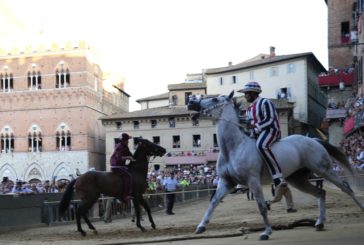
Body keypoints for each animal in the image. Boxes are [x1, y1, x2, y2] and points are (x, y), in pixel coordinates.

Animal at [188, 91, 364, 240]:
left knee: (346, 187)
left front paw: (266, 232)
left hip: (324, 170)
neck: (234, 148)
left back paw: (360, 209)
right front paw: (201, 226)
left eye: (215, 99)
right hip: (298, 180)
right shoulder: (227, 182)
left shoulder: (253, 181)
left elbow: (261, 206)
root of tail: (313, 140)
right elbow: (214, 201)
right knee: (321, 193)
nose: (191, 102)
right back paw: (320, 222)